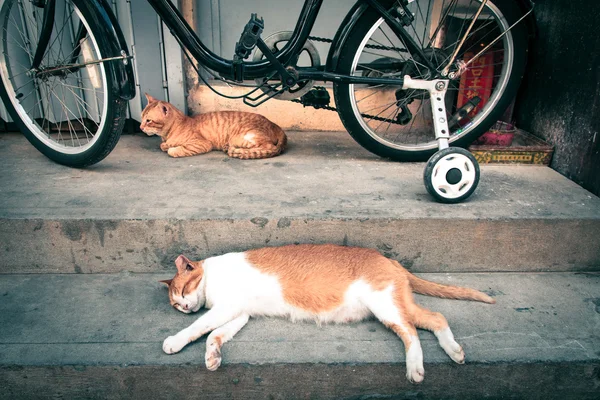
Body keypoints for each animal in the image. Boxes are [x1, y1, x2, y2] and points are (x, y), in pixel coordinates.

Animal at [143, 94, 288, 159]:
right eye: (141, 117)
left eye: (148, 120)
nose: (140, 127)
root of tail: (275, 125)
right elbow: (163, 145)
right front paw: (166, 145)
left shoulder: (202, 144)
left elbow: (173, 151)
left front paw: (171, 148)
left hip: (240, 137)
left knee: (269, 147)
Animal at [159, 242, 492, 382]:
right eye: (175, 303)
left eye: (183, 292)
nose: (184, 308)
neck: (212, 276)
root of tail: (389, 260)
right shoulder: (239, 313)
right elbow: (215, 334)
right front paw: (213, 356)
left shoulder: (228, 307)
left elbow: (199, 328)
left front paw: (175, 340)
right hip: (393, 305)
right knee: (436, 318)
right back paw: (454, 350)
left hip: (384, 305)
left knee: (412, 331)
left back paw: (416, 369)